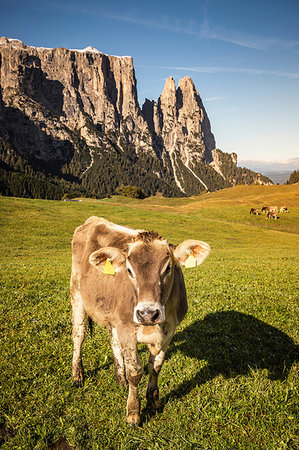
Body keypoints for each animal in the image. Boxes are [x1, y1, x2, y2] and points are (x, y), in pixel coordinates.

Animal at [70, 217, 211, 426]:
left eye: (168, 268)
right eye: (129, 270)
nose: (148, 313)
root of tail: (94, 220)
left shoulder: (169, 331)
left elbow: (156, 367)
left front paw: (153, 402)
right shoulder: (127, 330)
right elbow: (135, 371)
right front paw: (133, 413)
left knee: (113, 340)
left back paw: (120, 378)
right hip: (77, 295)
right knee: (79, 336)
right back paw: (77, 375)